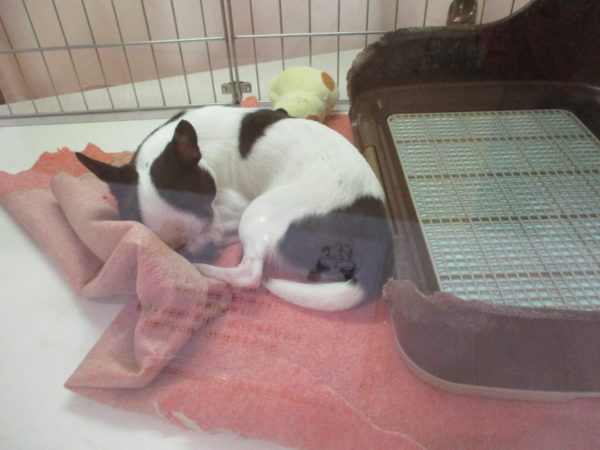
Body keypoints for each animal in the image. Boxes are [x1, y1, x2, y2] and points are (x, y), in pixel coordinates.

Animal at [76, 106, 393, 311]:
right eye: (170, 243)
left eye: (205, 219)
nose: (196, 248)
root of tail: (379, 244)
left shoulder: (232, 208)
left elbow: (221, 228)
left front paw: (203, 249)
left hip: (259, 212)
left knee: (250, 274)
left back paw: (205, 269)